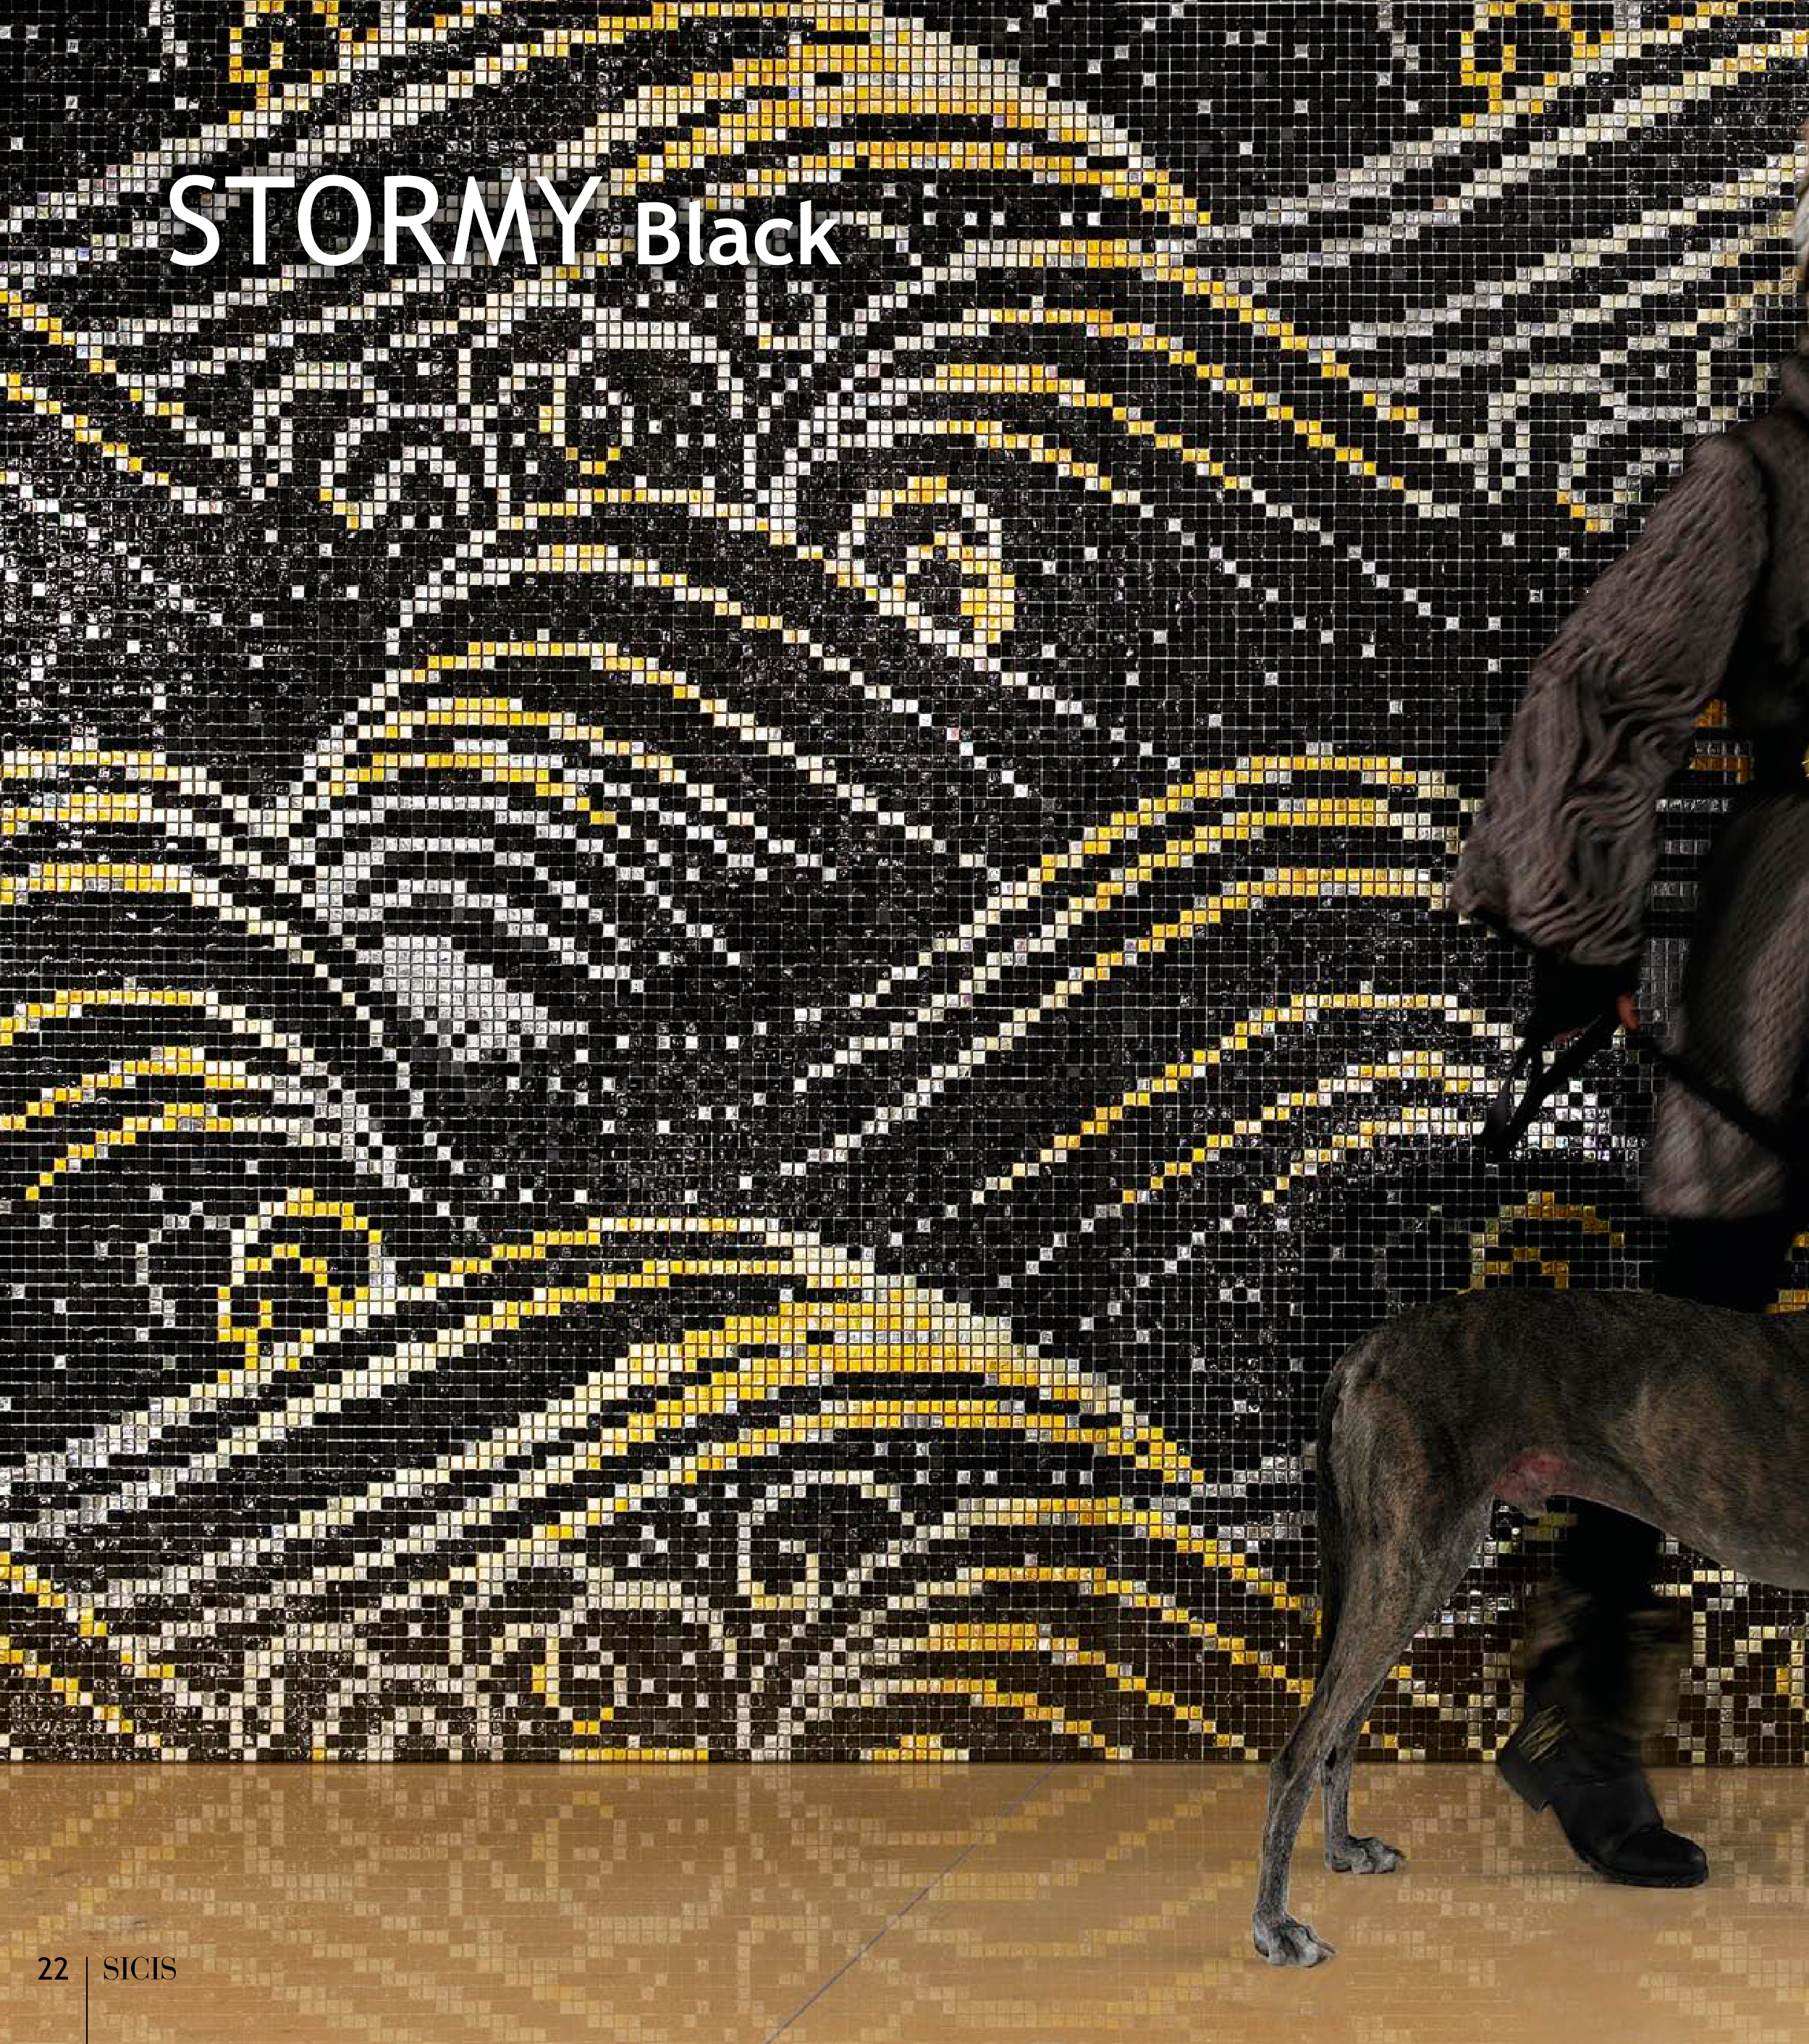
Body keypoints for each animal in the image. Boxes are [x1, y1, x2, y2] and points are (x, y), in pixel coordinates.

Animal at [1250, 1283, 1809, 1966]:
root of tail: (1367, 1347)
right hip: (1410, 1553)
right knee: (1299, 1749)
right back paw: (1275, 1926)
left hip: (1422, 1554)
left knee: (1342, 1727)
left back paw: (1342, 1849)